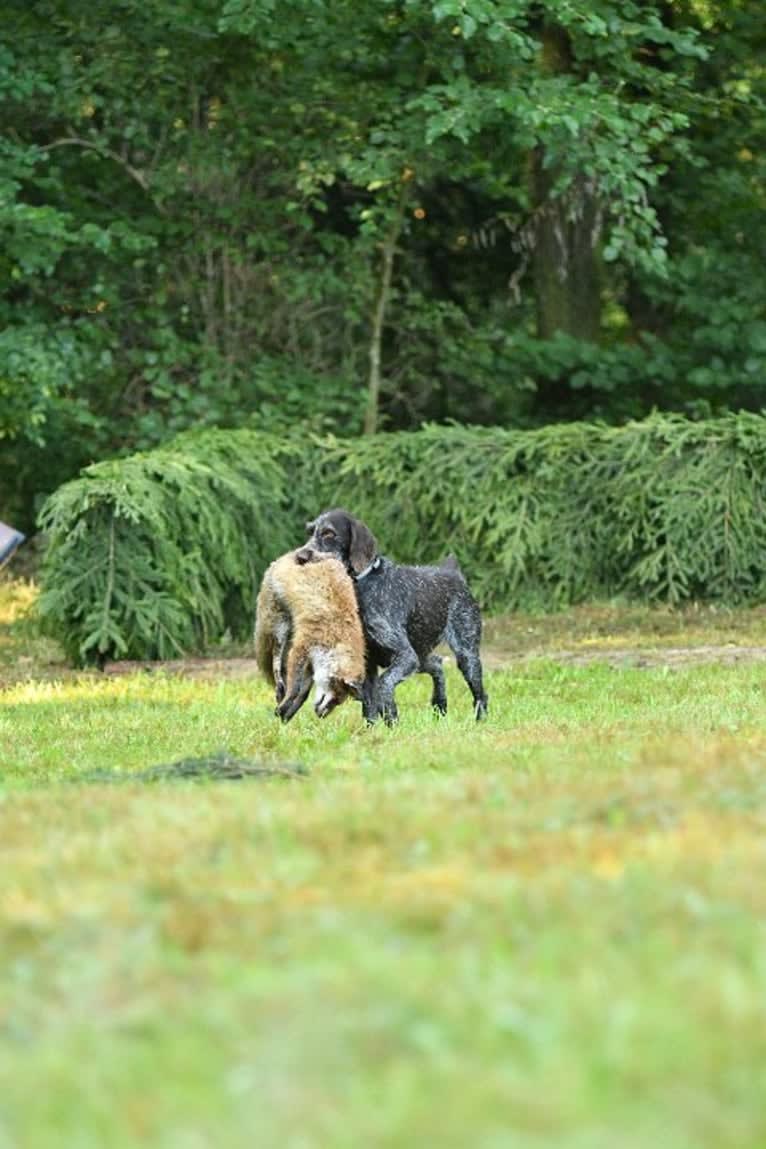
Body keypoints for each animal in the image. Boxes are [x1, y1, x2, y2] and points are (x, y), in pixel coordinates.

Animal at [252, 551, 367, 721]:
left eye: (338, 702)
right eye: (334, 697)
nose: (322, 716)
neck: (337, 637)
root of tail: (284, 557)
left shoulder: (312, 664)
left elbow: (303, 693)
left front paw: (287, 713)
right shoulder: (301, 649)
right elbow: (294, 690)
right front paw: (284, 707)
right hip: (281, 626)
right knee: (276, 659)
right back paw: (279, 684)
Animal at [296, 510, 489, 721]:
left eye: (329, 533)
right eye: (310, 532)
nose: (300, 557)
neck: (360, 586)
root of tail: (453, 573)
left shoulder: (405, 656)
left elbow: (384, 684)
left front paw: (391, 717)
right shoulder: (371, 663)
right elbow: (369, 706)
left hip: (465, 654)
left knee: (480, 694)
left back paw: (479, 720)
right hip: (421, 656)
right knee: (437, 664)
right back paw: (439, 704)